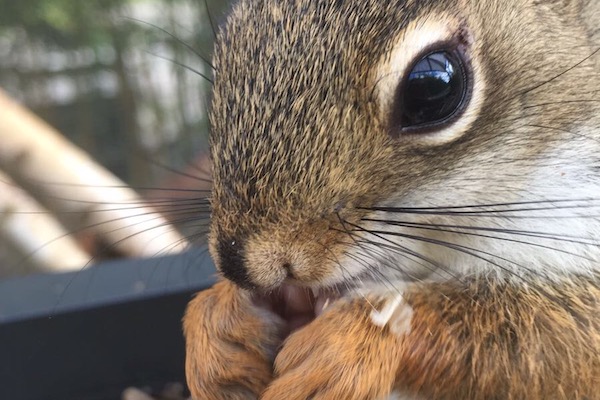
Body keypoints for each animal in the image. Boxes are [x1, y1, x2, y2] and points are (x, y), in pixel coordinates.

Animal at [182, 0, 600, 400]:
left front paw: (349, 342)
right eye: (229, 41)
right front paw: (218, 323)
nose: (243, 267)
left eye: (431, 88)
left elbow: (561, 339)